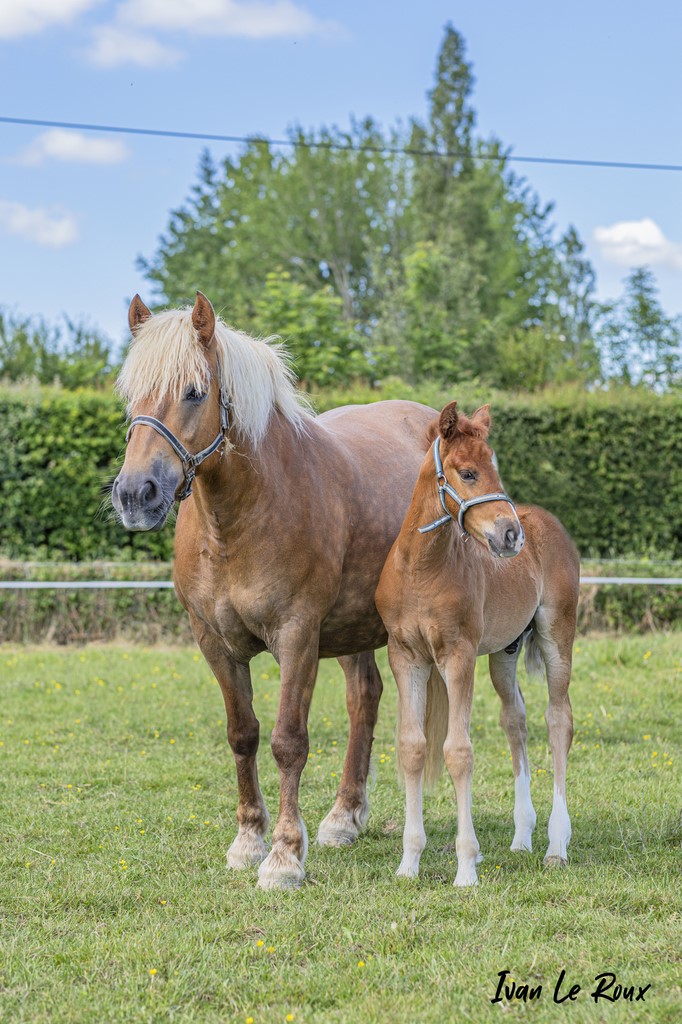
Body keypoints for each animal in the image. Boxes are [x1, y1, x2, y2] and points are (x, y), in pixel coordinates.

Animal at [111, 290, 430, 888]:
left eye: (195, 392)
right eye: (130, 394)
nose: (135, 494)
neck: (238, 519)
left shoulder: (297, 636)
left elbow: (287, 742)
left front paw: (283, 857)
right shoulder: (214, 643)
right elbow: (243, 734)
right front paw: (247, 842)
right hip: (352, 631)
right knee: (364, 698)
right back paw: (343, 817)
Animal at [374, 399, 577, 888]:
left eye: (495, 469)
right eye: (467, 473)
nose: (510, 535)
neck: (421, 570)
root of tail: (545, 521)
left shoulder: (458, 655)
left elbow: (458, 751)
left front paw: (466, 867)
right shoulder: (405, 656)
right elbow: (412, 748)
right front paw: (408, 863)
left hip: (558, 633)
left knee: (558, 720)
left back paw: (556, 844)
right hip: (504, 652)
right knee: (515, 720)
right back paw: (522, 836)